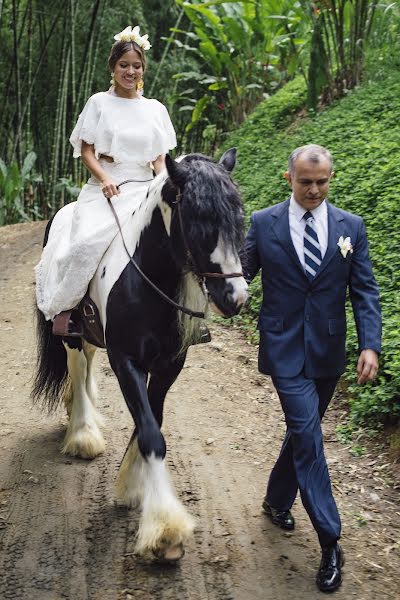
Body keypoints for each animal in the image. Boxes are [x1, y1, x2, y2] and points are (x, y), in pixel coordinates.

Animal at [31, 149, 248, 564]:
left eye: (239, 217)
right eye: (198, 220)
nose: (236, 297)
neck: (149, 276)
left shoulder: (169, 365)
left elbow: (152, 420)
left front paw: (131, 487)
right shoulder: (126, 360)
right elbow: (150, 433)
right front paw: (164, 529)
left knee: (87, 363)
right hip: (68, 327)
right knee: (77, 365)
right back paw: (83, 432)